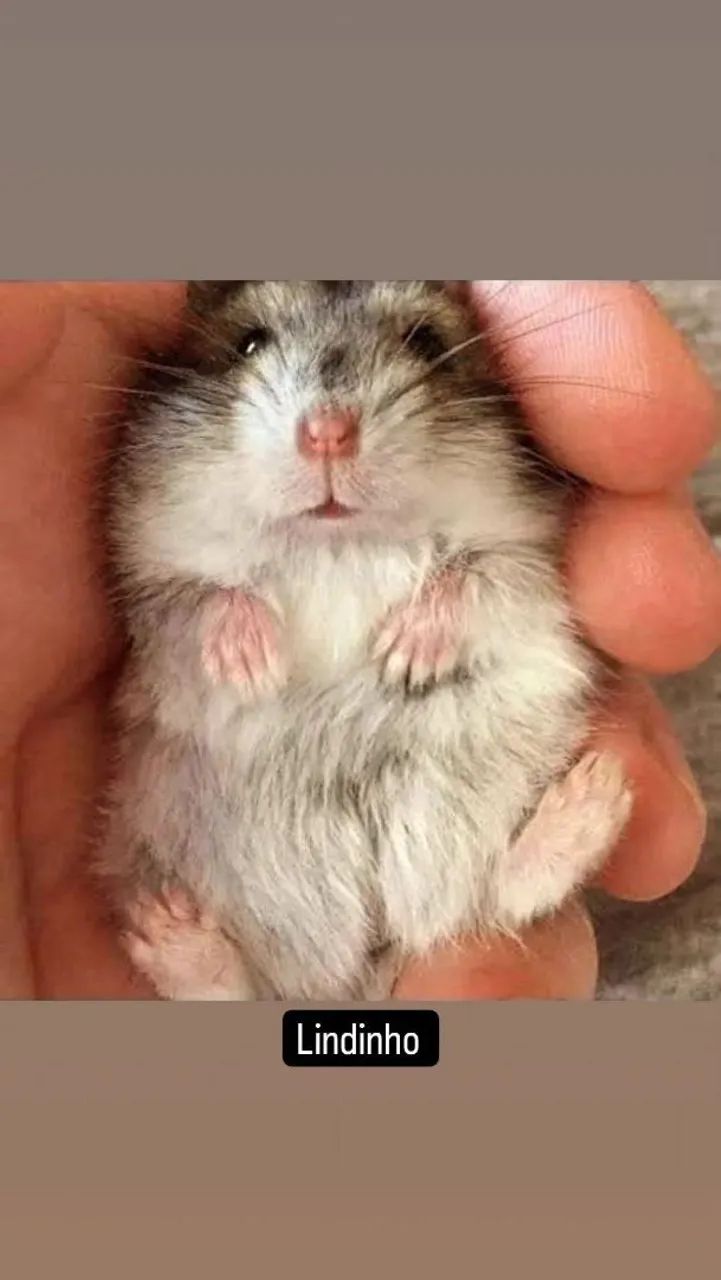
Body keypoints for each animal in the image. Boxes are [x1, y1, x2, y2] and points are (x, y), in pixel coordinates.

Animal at [98, 280, 632, 1001]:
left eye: (427, 343)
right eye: (248, 344)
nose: (328, 433)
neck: (337, 541)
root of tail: (359, 960)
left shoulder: (526, 558)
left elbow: (471, 579)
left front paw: (400, 659)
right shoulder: (148, 582)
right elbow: (200, 601)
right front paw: (257, 667)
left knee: (494, 897)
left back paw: (593, 799)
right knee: (232, 990)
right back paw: (169, 932)